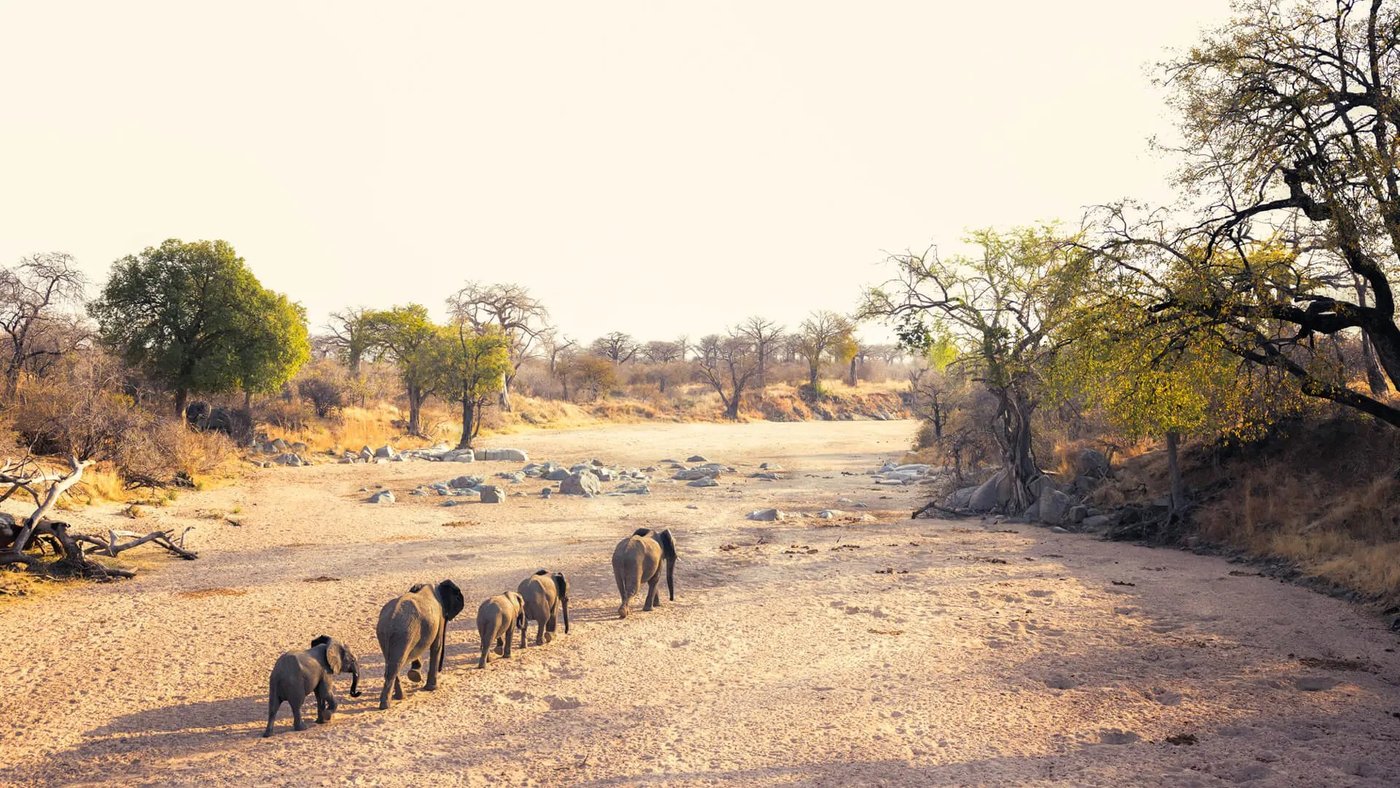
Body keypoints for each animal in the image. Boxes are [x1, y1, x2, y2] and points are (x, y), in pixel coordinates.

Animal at [375, 579, 466, 710]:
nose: (441, 669)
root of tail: (390, 620)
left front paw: (415, 675)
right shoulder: (440, 616)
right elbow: (436, 646)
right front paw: (431, 688)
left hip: (386, 635)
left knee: (390, 663)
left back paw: (399, 697)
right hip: (403, 634)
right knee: (396, 664)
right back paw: (386, 705)